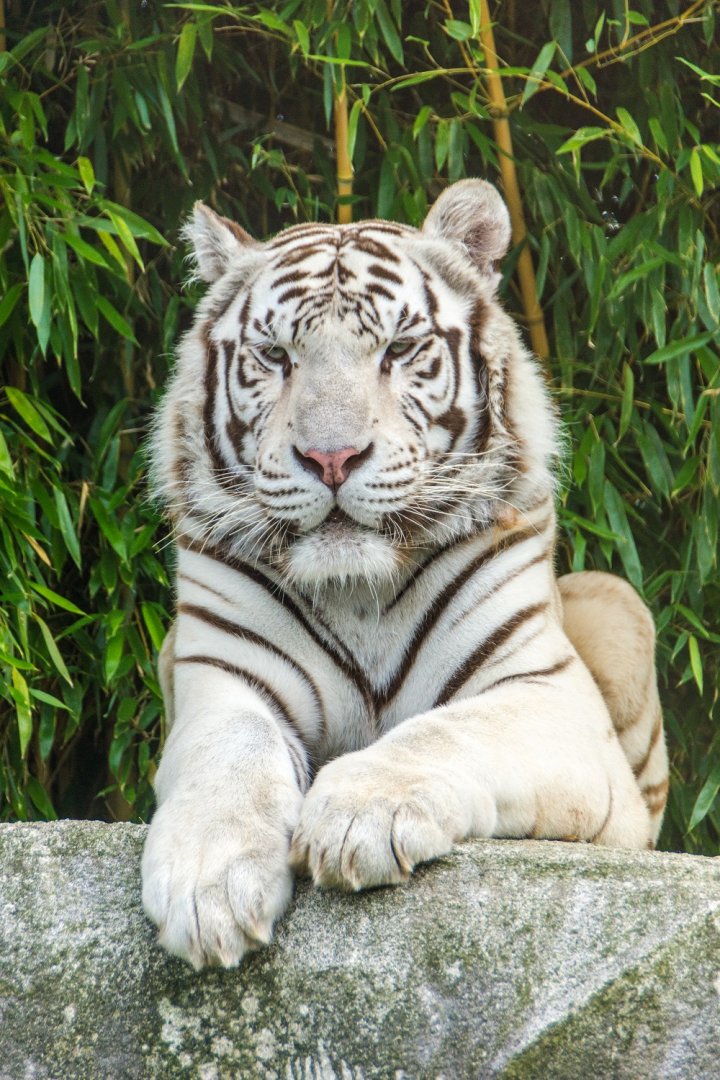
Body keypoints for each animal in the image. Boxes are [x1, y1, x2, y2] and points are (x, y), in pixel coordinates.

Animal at [141, 179, 669, 971]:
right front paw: (209, 885)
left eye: (399, 349)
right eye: (275, 355)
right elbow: (230, 757)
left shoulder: (543, 692)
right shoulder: (223, 678)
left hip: (616, 601)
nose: (331, 458)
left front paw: (359, 816)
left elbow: (446, 731)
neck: (359, 590)